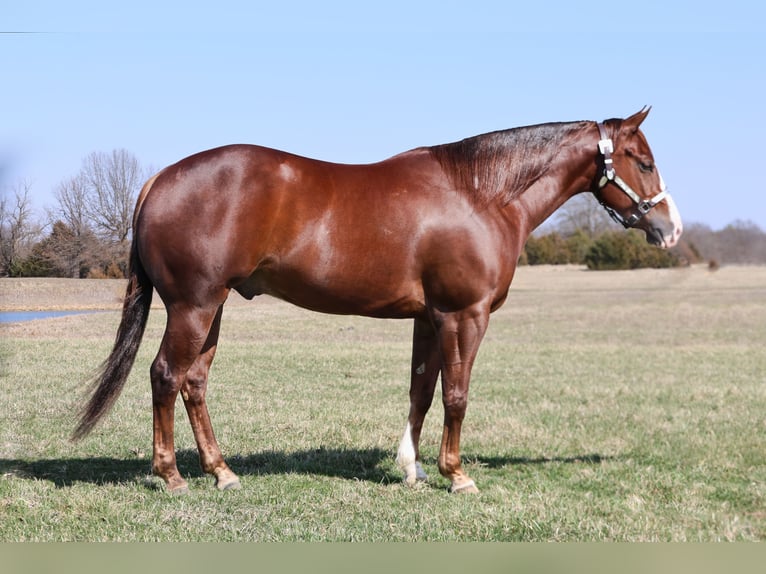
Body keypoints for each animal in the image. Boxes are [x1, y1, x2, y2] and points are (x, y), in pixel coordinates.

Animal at [72, 108, 684, 496]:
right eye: (642, 160)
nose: (670, 228)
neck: (480, 195)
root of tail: (158, 179)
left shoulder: (429, 318)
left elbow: (421, 391)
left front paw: (412, 468)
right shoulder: (465, 315)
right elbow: (457, 395)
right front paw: (456, 475)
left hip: (212, 307)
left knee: (194, 382)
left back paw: (221, 472)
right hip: (193, 306)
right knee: (165, 375)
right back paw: (171, 476)